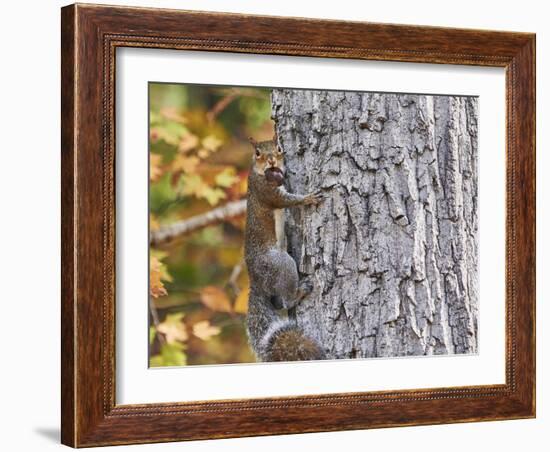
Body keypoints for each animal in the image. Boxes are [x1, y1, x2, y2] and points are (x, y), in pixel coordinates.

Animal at [244, 136, 326, 362]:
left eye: (279, 148)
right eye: (257, 153)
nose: (272, 160)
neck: (260, 173)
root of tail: (256, 282)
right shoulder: (267, 192)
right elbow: (287, 200)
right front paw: (308, 197)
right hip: (281, 265)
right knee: (287, 302)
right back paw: (300, 291)